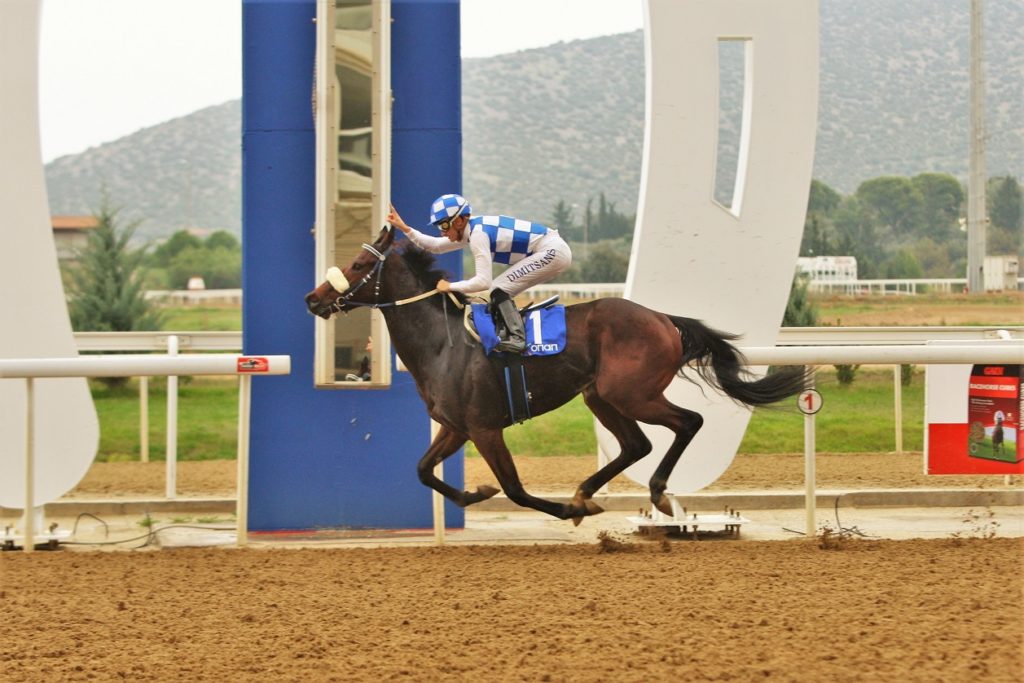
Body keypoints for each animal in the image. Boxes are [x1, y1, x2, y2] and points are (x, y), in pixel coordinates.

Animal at [303, 225, 806, 524]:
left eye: (359, 265)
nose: (313, 298)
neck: (443, 344)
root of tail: (664, 319)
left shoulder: (484, 428)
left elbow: (515, 488)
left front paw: (562, 510)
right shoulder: (456, 426)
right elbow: (424, 470)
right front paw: (475, 493)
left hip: (631, 393)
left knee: (688, 423)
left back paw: (655, 493)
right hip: (599, 395)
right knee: (636, 444)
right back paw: (586, 492)